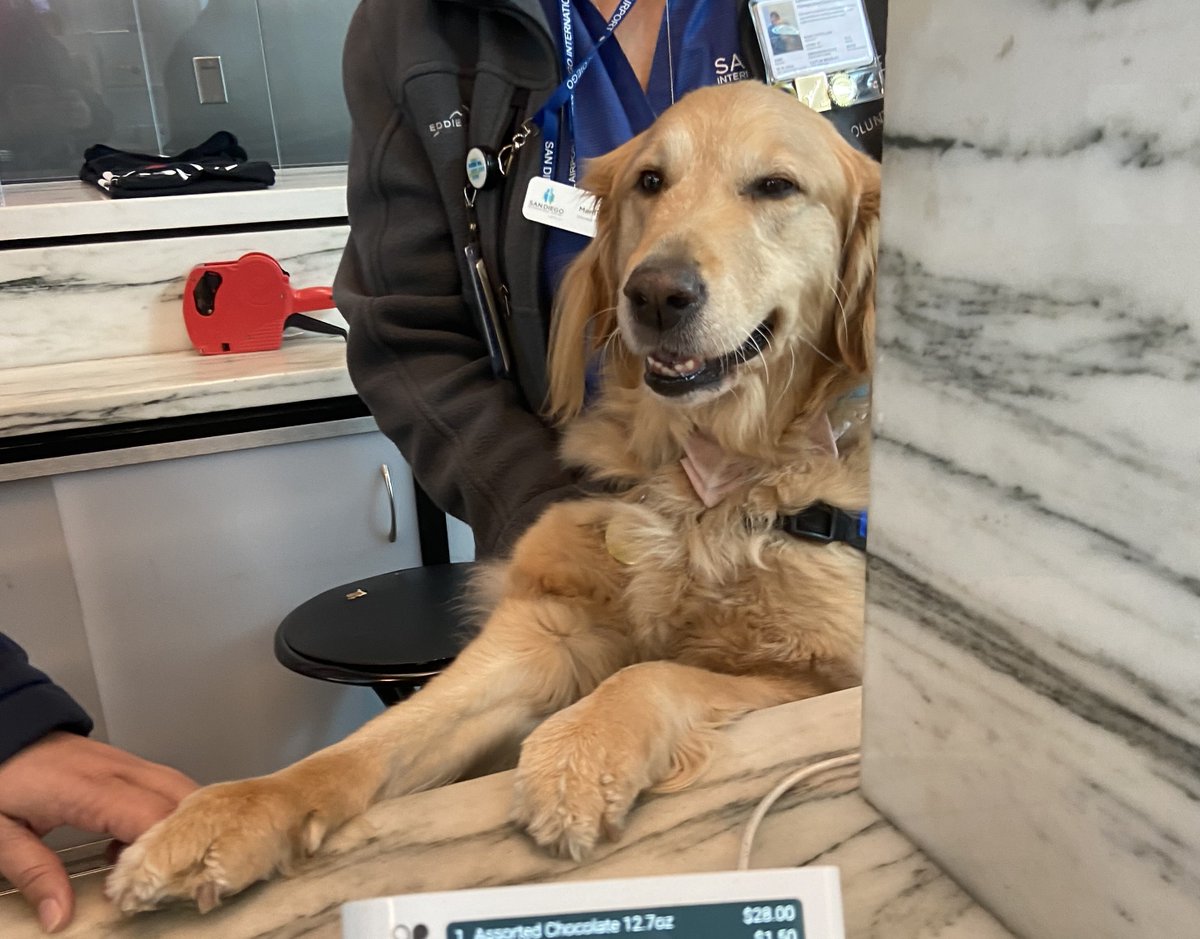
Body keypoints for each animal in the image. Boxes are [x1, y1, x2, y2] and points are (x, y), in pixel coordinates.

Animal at [108, 84, 878, 917]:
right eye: (650, 181)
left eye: (776, 186)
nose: (654, 293)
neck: (701, 474)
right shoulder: (546, 628)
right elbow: (381, 737)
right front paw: (233, 809)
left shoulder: (827, 677)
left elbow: (655, 673)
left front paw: (579, 749)